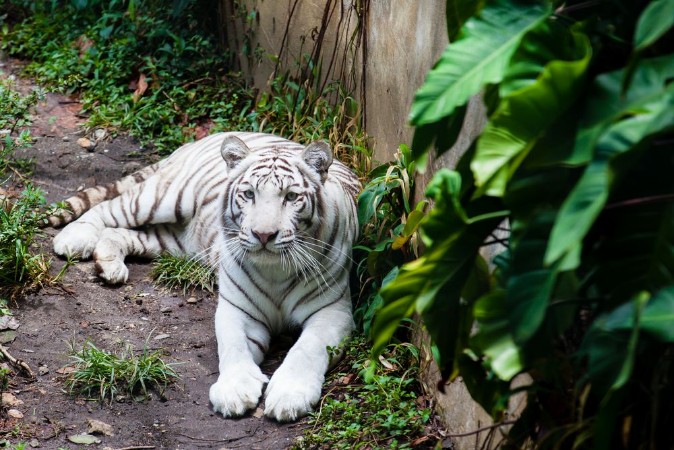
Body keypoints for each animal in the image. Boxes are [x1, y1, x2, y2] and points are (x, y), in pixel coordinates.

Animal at [50, 132, 361, 422]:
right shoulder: (237, 309)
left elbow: (307, 349)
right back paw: (74, 239)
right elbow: (233, 345)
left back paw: (109, 265)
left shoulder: (332, 311)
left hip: (174, 242)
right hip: (163, 199)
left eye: (291, 197)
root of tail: (204, 138)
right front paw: (234, 391)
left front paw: (289, 397)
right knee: (108, 209)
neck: (275, 271)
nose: (263, 235)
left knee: (120, 232)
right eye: (250, 194)